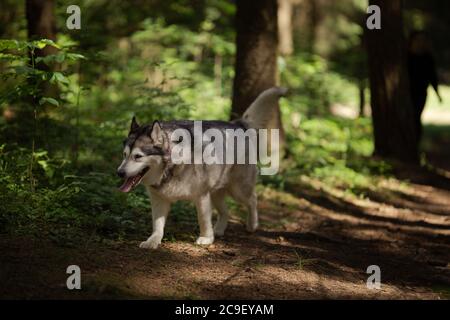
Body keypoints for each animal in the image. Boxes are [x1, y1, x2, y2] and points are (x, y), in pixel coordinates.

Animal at [116, 87, 284, 250]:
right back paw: (219, 230)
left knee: (253, 200)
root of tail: (237, 124)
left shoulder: (201, 196)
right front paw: (153, 241)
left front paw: (206, 238)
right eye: (124, 155)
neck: (171, 166)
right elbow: (157, 225)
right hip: (216, 193)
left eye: (137, 156)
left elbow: (203, 219)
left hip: (238, 190)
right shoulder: (159, 199)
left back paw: (252, 225)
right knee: (226, 211)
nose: (119, 173)